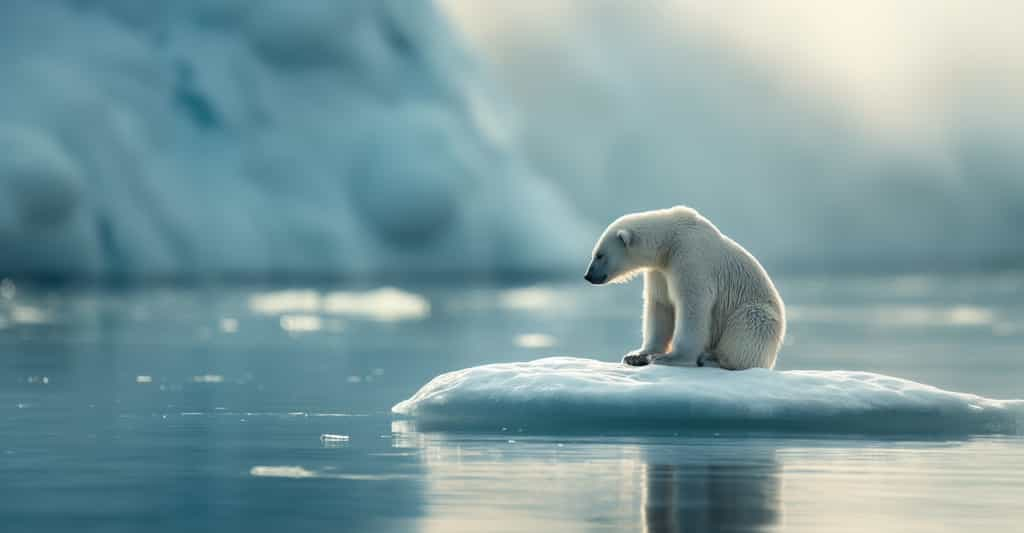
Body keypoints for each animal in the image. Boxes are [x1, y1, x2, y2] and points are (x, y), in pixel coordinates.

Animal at [585, 205, 782, 368]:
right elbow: (660, 305)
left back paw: (713, 359)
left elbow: (692, 305)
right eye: (595, 254)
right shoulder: (661, 269)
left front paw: (667, 358)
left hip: (757, 313)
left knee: (750, 324)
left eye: (600, 255)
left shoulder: (690, 257)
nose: (588, 276)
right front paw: (636, 355)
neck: (671, 238)